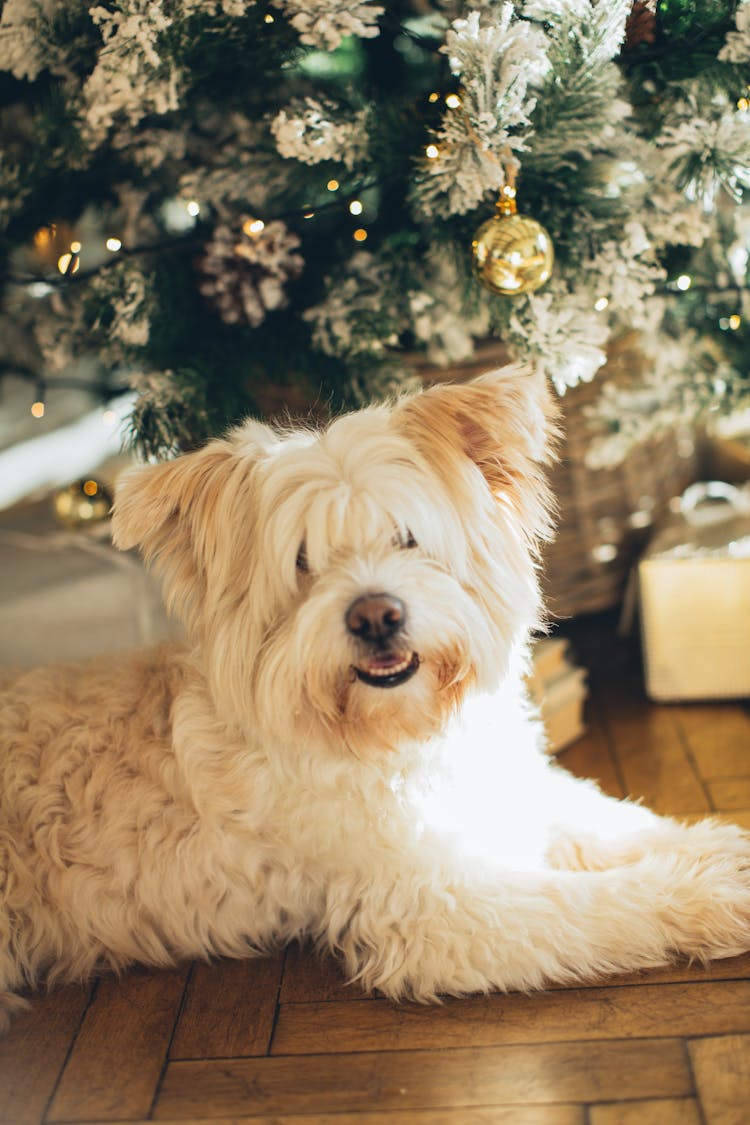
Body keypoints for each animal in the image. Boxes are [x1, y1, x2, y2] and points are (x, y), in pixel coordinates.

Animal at [1, 364, 750, 1030]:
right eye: (303, 561)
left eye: (407, 536)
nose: (375, 616)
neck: (399, 736)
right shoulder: (436, 910)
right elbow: (595, 904)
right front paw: (708, 889)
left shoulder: (510, 791)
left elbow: (610, 819)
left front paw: (713, 847)